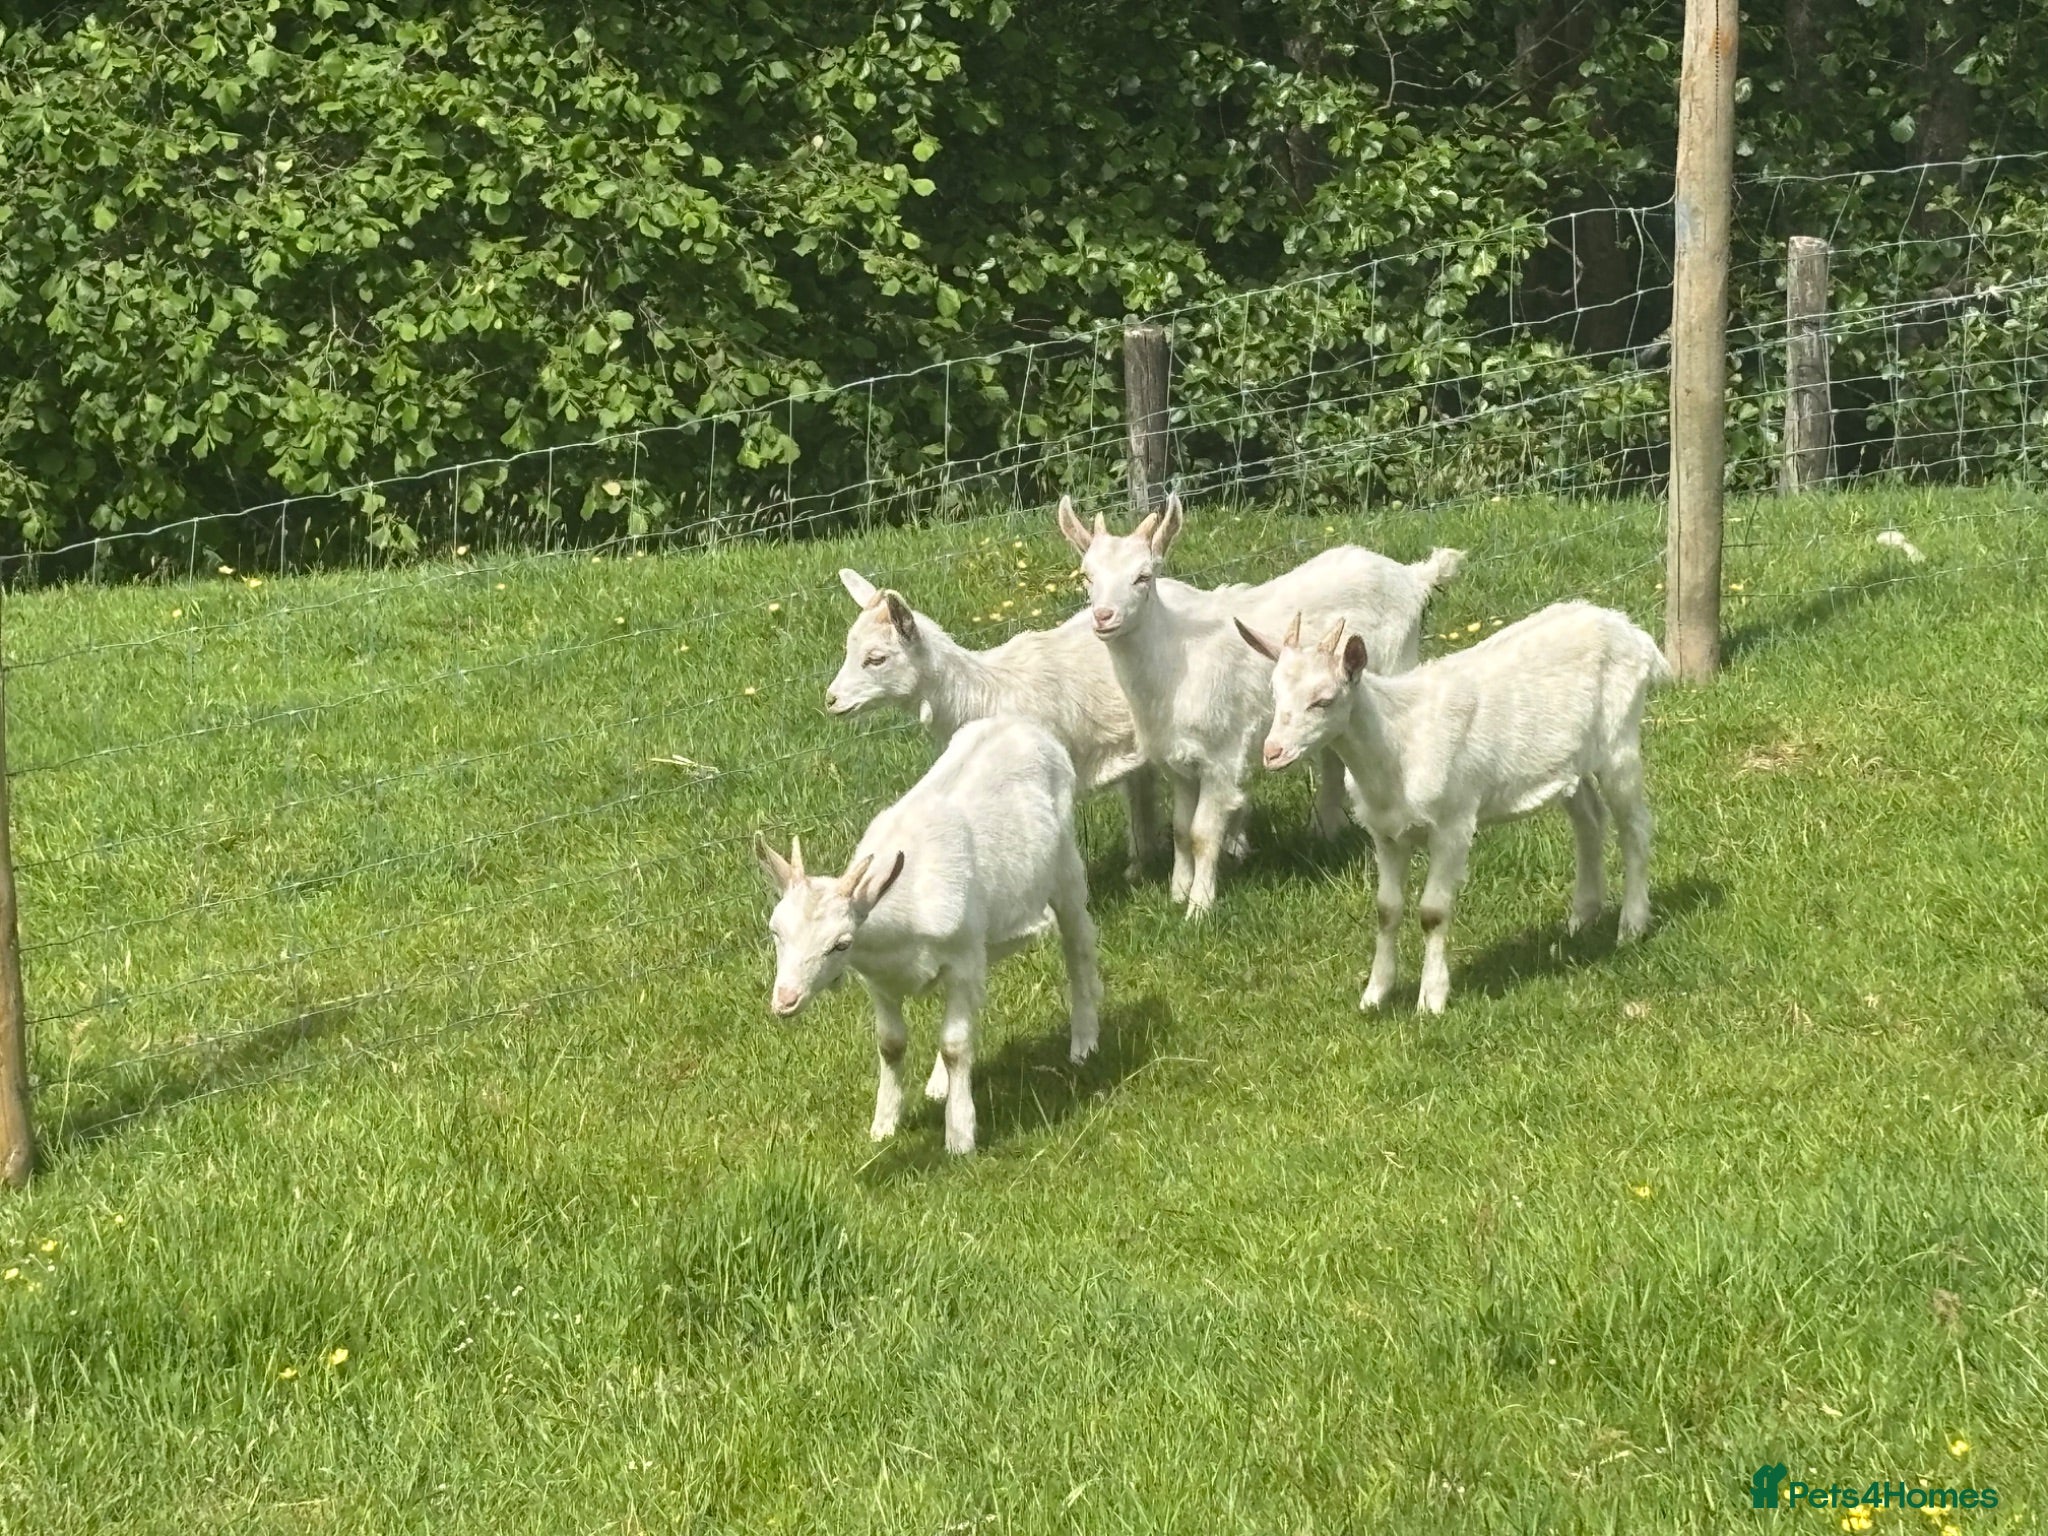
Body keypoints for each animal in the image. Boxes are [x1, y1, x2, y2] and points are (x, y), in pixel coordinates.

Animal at [756, 716, 1101, 1154]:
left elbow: (955, 1046)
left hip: (1065, 865)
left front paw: (960, 1136)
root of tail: (1018, 722)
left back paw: (1084, 1041)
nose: (785, 1000)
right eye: (775, 930)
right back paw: (940, 1085)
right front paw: (884, 1125)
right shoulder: (880, 982)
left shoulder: (962, 962)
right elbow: (891, 1044)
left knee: (1079, 941)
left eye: (840, 944)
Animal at [1058, 492, 1462, 918]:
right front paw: (1177, 892)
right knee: (1334, 757)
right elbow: (1182, 830)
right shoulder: (1177, 761)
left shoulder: (1220, 755)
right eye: (1087, 576)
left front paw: (1199, 907)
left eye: (1144, 577)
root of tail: (1414, 577)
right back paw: (1324, 830)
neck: (1175, 663)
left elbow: (1203, 833)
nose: (1104, 617)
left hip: (1399, 659)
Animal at [1240, 600, 1666, 1012]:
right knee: (1589, 819)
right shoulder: (1384, 833)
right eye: (1275, 693)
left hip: (1619, 739)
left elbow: (1433, 912)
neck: (1398, 742)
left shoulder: (1453, 824)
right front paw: (1374, 995)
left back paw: (1631, 925)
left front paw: (1431, 999)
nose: (1272, 753)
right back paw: (1582, 917)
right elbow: (1386, 909)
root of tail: (1634, 633)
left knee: (1635, 826)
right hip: (1567, 764)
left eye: (1323, 700)